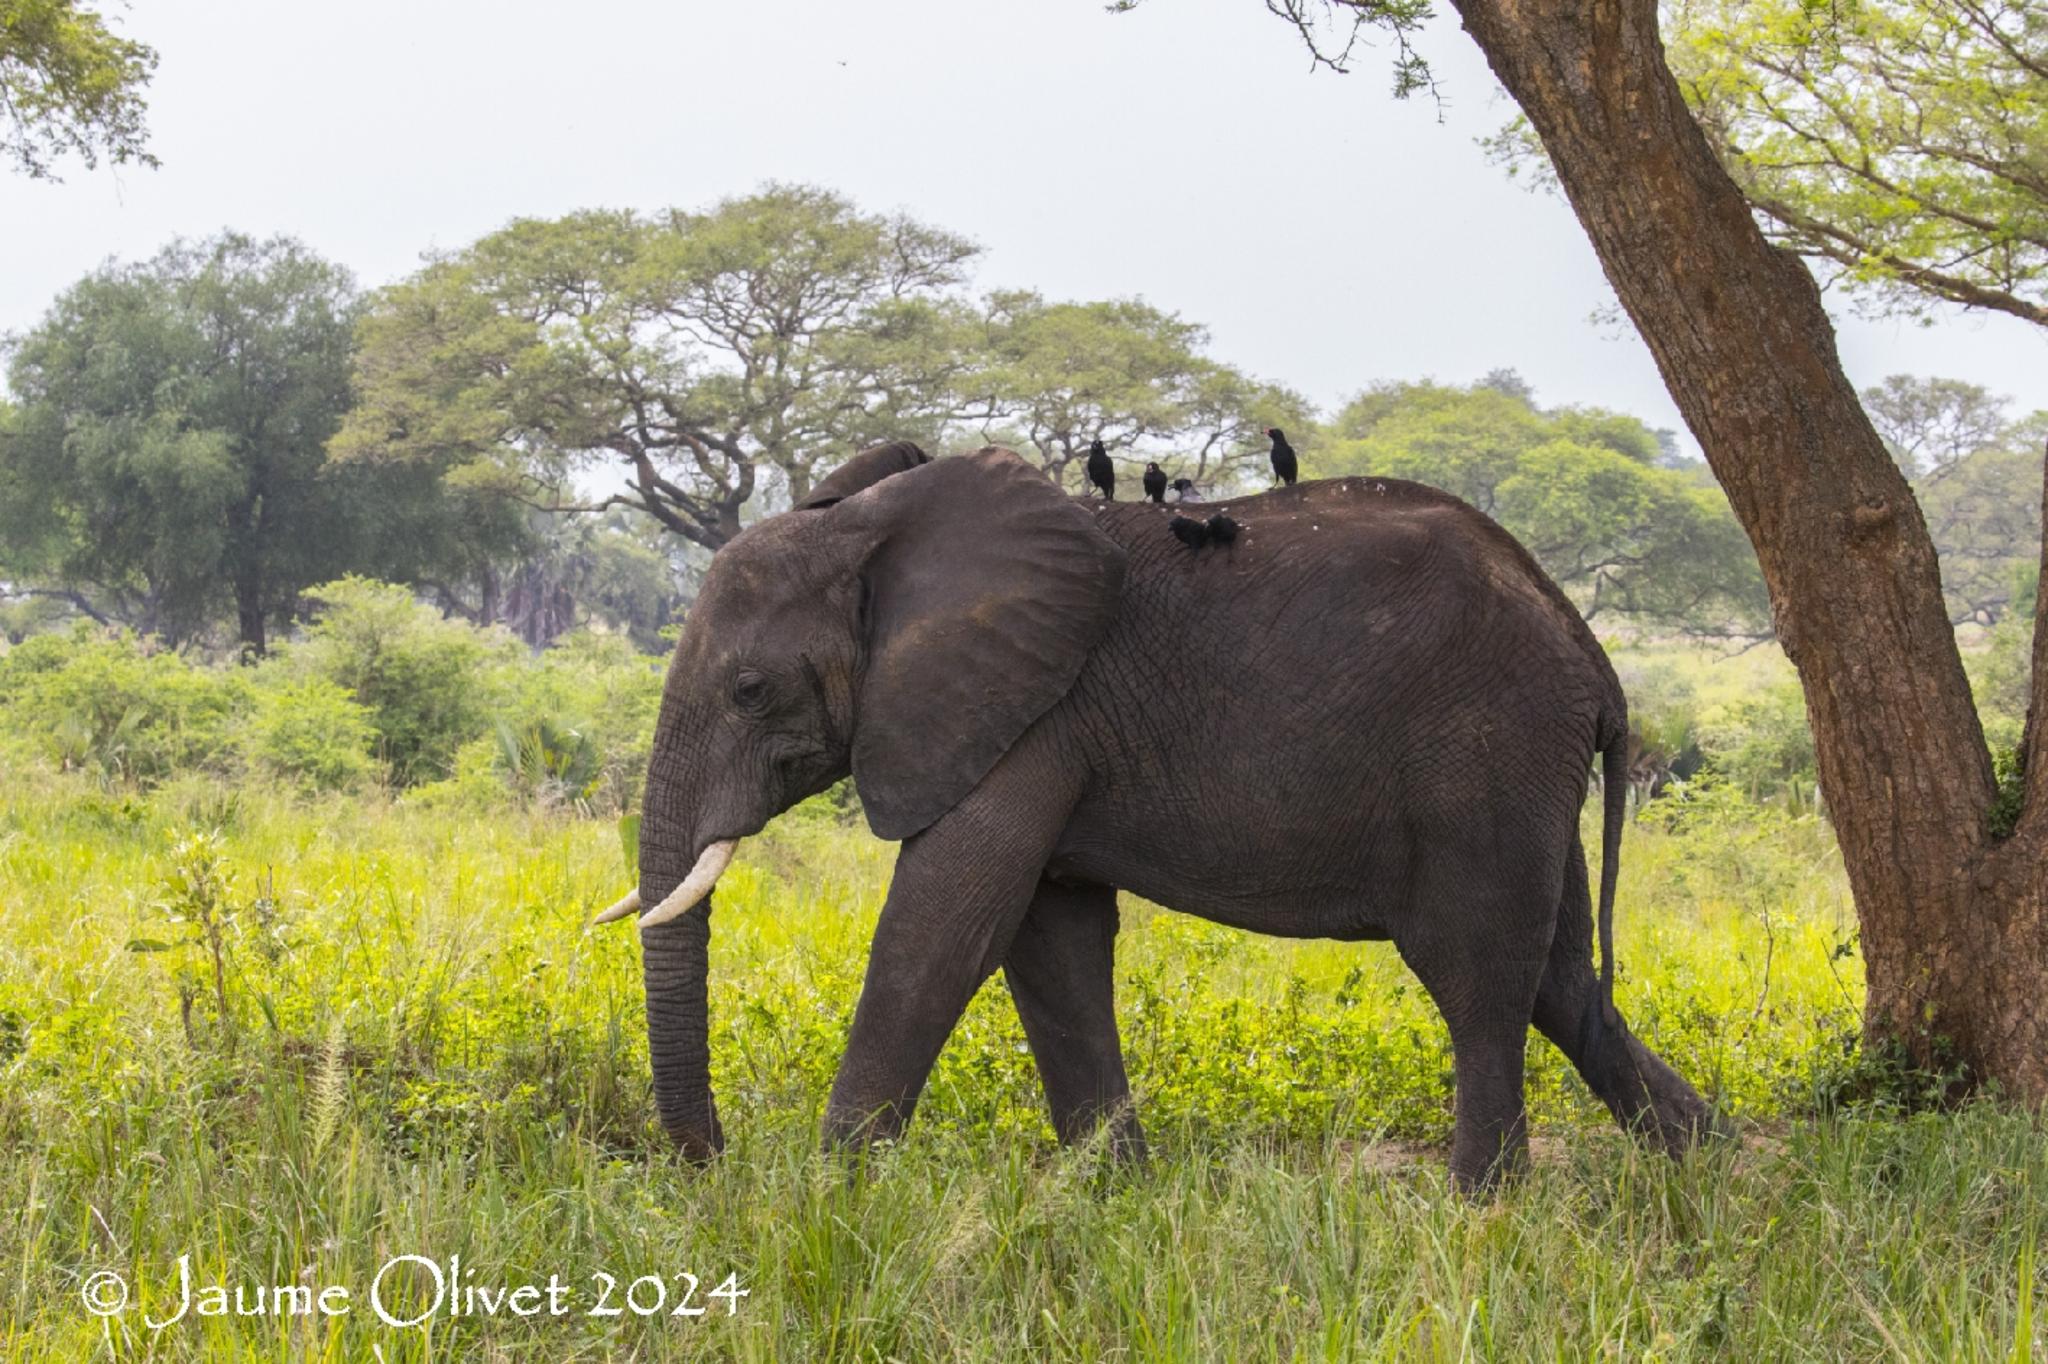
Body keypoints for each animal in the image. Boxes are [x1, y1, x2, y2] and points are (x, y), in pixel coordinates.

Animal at [598, 440, 1720, 1187]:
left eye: (750, 692)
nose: (711, 1162)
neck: (872, 528)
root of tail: (1592, 656)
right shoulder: (1037, 721)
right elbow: (1047, 937)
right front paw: (1115, 1193)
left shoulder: (1028, 713)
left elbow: (945, 923)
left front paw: (830, 1199)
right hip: (1521, 768)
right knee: (1561, 978)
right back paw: (1700, 1168)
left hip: (1484, 750)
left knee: (1480, 974)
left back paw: (1481, 1206)